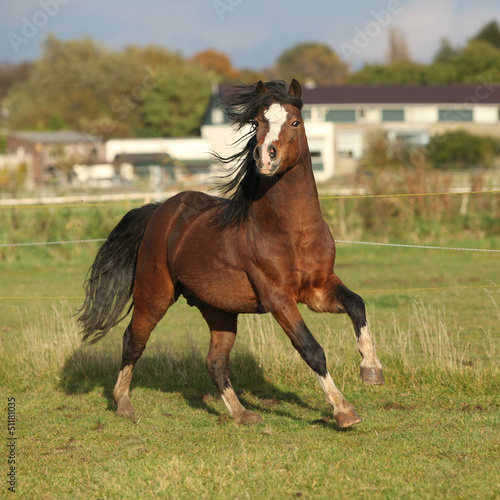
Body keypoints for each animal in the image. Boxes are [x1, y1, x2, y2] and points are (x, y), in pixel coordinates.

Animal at [77, 79, 382, 430]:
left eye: (295, 122)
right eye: (258, 123)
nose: (265, 156)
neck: (295, 232)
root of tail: (159, 211)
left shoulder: (318, 289)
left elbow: (357, 304)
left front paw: (372, 370)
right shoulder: (279, 298)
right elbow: (311, 348)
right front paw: (343, 411)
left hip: (219, 311)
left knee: (216, 362)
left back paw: (242, 413)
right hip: (154, 297)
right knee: (133, 341)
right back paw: (124, 404)